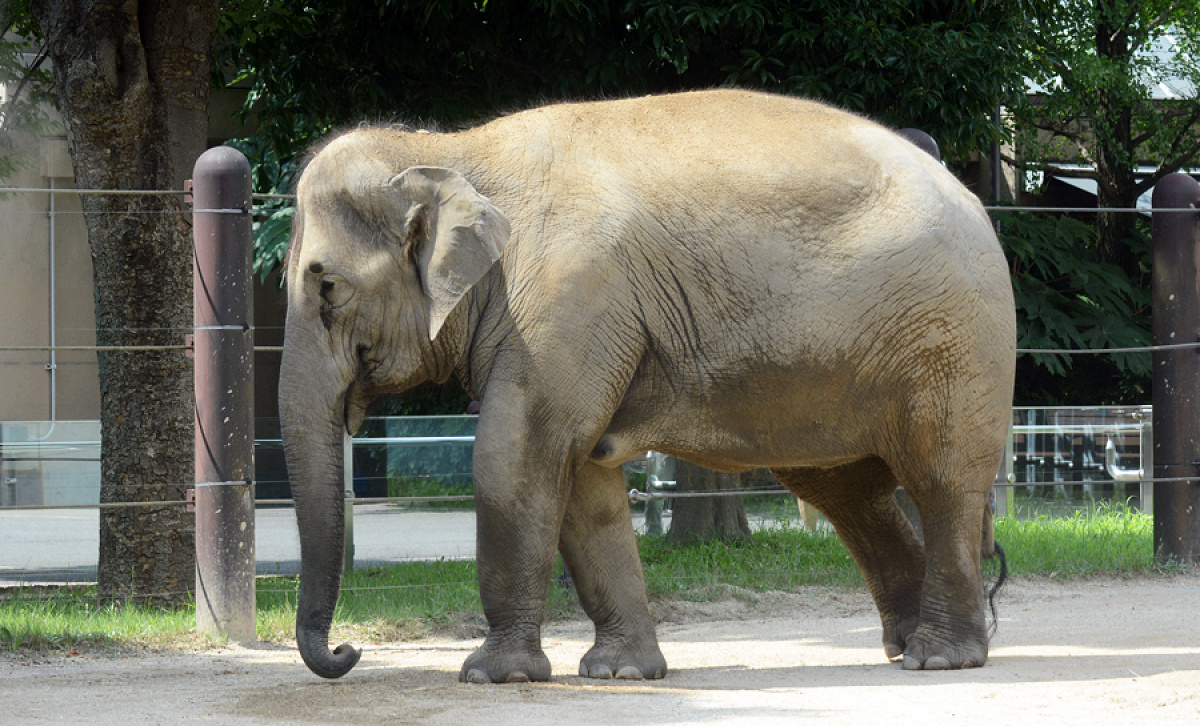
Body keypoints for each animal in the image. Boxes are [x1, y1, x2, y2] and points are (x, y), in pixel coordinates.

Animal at [280, 87, 1012, 681]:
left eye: (327, 286)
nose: (347, 651)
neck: (449, 149)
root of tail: (970, 192)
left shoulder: (570, 293)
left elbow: (518, 454)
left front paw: (493, 675)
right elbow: (582, 478)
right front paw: (620, 673)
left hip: (953, 339)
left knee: (940, 480)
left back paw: (939, 657)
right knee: (847, 490)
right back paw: (902, 645)